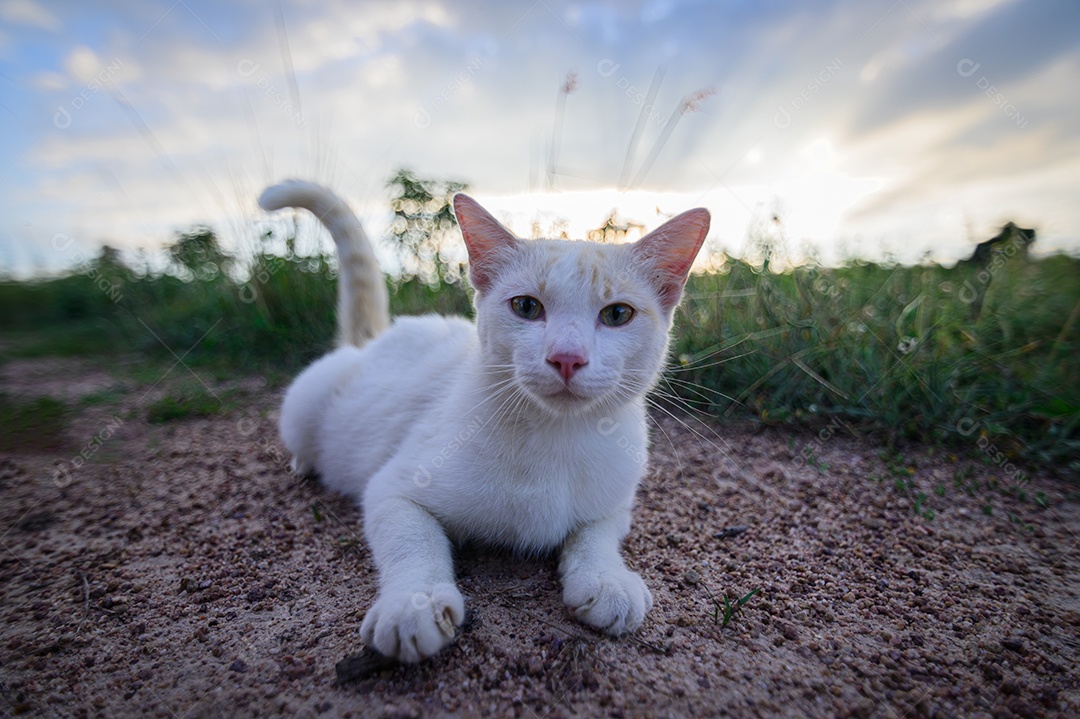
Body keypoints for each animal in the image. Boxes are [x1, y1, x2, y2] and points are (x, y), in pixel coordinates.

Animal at [260, 180, 708, 660]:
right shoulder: (392, 489)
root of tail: (376, 339)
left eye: (618, 314)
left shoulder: (615, 505)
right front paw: (414, 603)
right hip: (304, 401)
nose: (567, 357)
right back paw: (304, 464)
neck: (554, 437)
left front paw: (607, 579)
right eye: (526, 307)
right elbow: (412, 540)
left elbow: (596, 535)